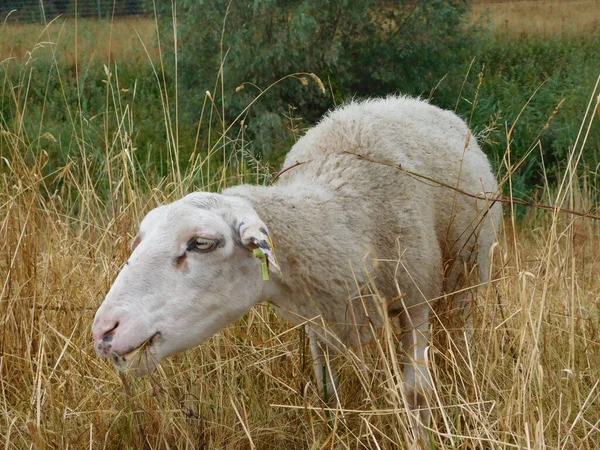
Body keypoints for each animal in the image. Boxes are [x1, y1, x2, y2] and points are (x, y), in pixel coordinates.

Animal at [92, 96, 502, 428]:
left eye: (202, 243)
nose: (103, 332)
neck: (343, 217)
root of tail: (413, 100)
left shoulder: (414, 301)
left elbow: (416, 395)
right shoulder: (318, 318)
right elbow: (326, 390)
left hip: (469, 271)